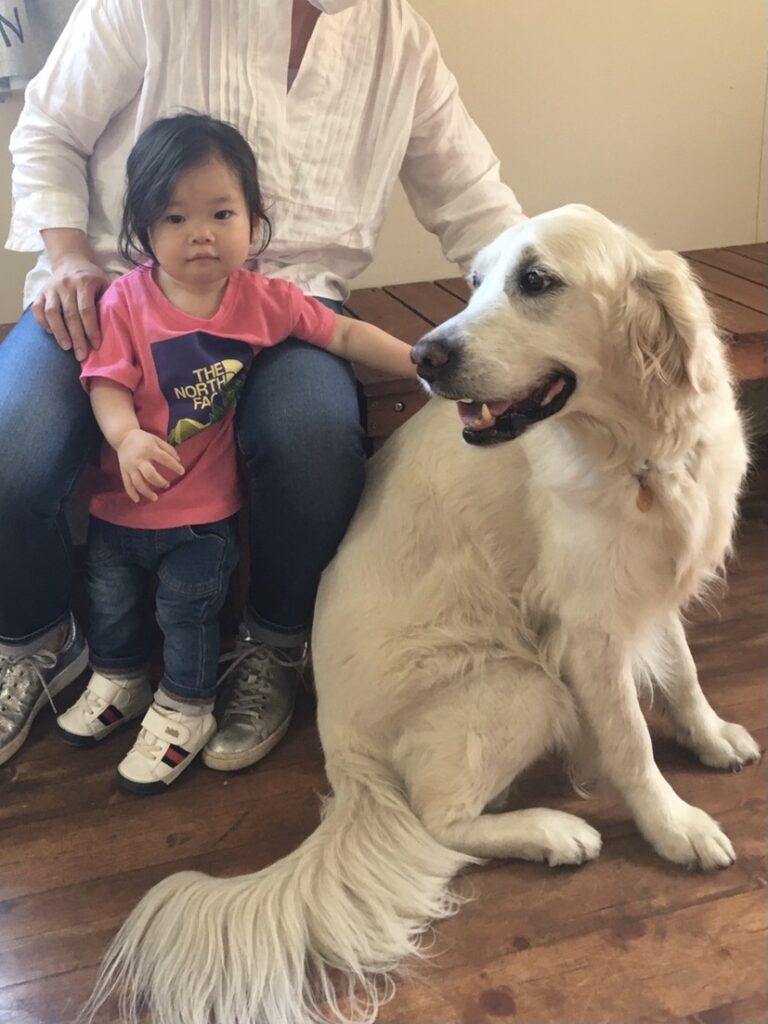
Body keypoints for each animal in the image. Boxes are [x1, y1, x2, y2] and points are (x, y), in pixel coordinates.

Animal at [86, 205, 760, 1024]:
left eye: (537, 281)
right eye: (475, 281)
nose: (422, 356)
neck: (634, 452)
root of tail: (346, 762)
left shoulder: (644, 585)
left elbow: (687, 675)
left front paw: (712, 737)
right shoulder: (587, 629)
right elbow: (632, 745)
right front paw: (676, 828)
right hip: (525, 683)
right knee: (440, 822)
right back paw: (554, 832)